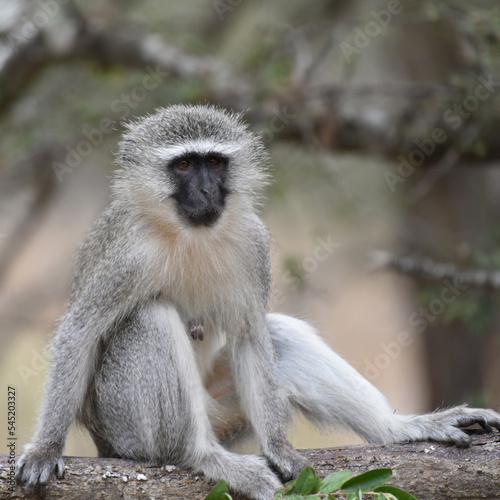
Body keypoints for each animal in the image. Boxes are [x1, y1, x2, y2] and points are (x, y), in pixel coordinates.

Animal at [15, 103, 500, 498]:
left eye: (214, 163)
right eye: (184, 165)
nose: (207, 192)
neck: (188, 231)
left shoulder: (254, 243)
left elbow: (251, 335)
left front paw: (280, 447)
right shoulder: (127, 255)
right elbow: (80, 334)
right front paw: (45, 449)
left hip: (224, 412)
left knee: (278, 335)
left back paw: (400, 428)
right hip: (125, 430)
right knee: (151, 319)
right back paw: (203, 456)